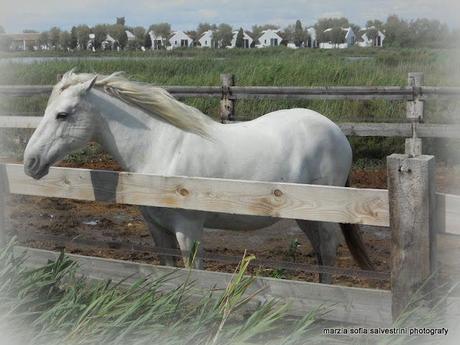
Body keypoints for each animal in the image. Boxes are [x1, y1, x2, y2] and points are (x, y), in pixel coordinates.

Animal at [23, 70, 372, 282]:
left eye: (62, 114)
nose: (30, 162)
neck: (160, 147)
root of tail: (335, 131)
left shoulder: (188, 229)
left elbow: (194, 272)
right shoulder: (158, 228)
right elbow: (168, 269)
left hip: (322, 217)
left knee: (328, 252)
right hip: (305, 217)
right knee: (320, 254)